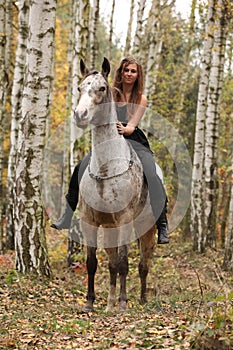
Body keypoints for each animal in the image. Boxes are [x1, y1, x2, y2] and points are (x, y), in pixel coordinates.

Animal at [73, 57, 156, 312]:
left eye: (102, 88)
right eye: (79, 88)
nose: (80, 114)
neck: (106, 169)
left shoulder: (125, 221)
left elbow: (123, 263)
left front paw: (123, 304)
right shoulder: (89, 221)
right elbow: (92, 262)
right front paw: (90, 303)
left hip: (146, 228)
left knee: (143, 264)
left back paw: (141, 299)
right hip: (110, 228)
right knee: (111, 264)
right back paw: (109, 304)